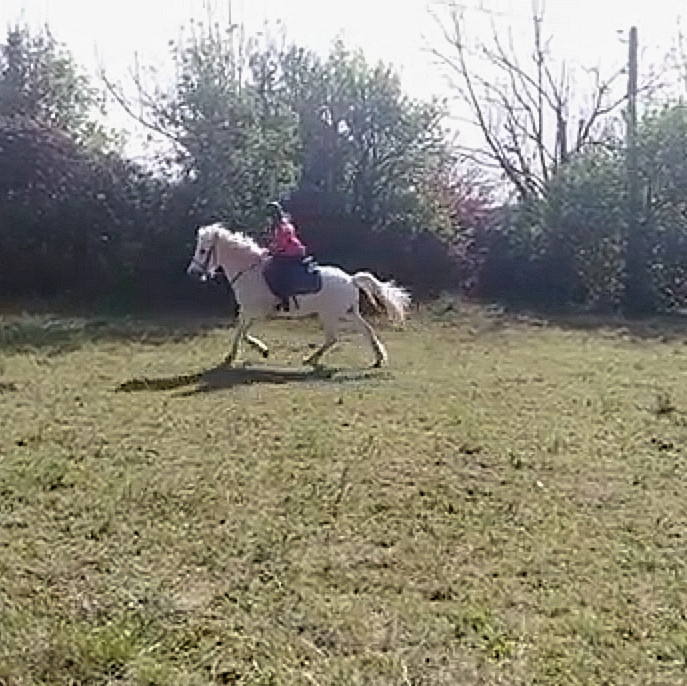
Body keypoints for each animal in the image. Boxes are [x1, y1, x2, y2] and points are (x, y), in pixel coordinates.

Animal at [186, 223, 411, 367]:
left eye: (203, 250)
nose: (193, 272)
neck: (249, 271)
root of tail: (351, 279)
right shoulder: (250, 312)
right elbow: (243, 332)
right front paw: (255, 351)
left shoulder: (252, 311)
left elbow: (241, 333)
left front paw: (241, 354)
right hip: (348, 313)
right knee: (366, 331)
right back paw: (378, 359)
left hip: (331, 315)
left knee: (333, 338)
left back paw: (311, 359)